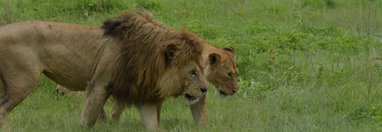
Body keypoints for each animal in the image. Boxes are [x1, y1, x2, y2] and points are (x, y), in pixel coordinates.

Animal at [0, 10, 209, 130]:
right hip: (23, 81)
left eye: (201, 69)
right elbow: (89, 118)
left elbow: (152, 125)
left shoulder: (143, 95)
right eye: (192, 72)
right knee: (3, 109)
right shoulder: (99, 84)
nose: (205, 89)